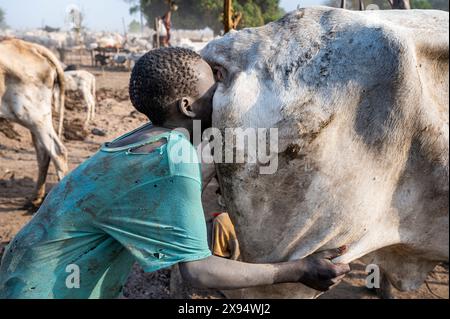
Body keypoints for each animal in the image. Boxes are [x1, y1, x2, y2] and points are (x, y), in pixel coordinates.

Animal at [0, 38, 68, 209]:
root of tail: (32, 47)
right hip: (36, 119)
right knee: (44, 152)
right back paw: (35, 198)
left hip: (32, 116)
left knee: (57, 151)